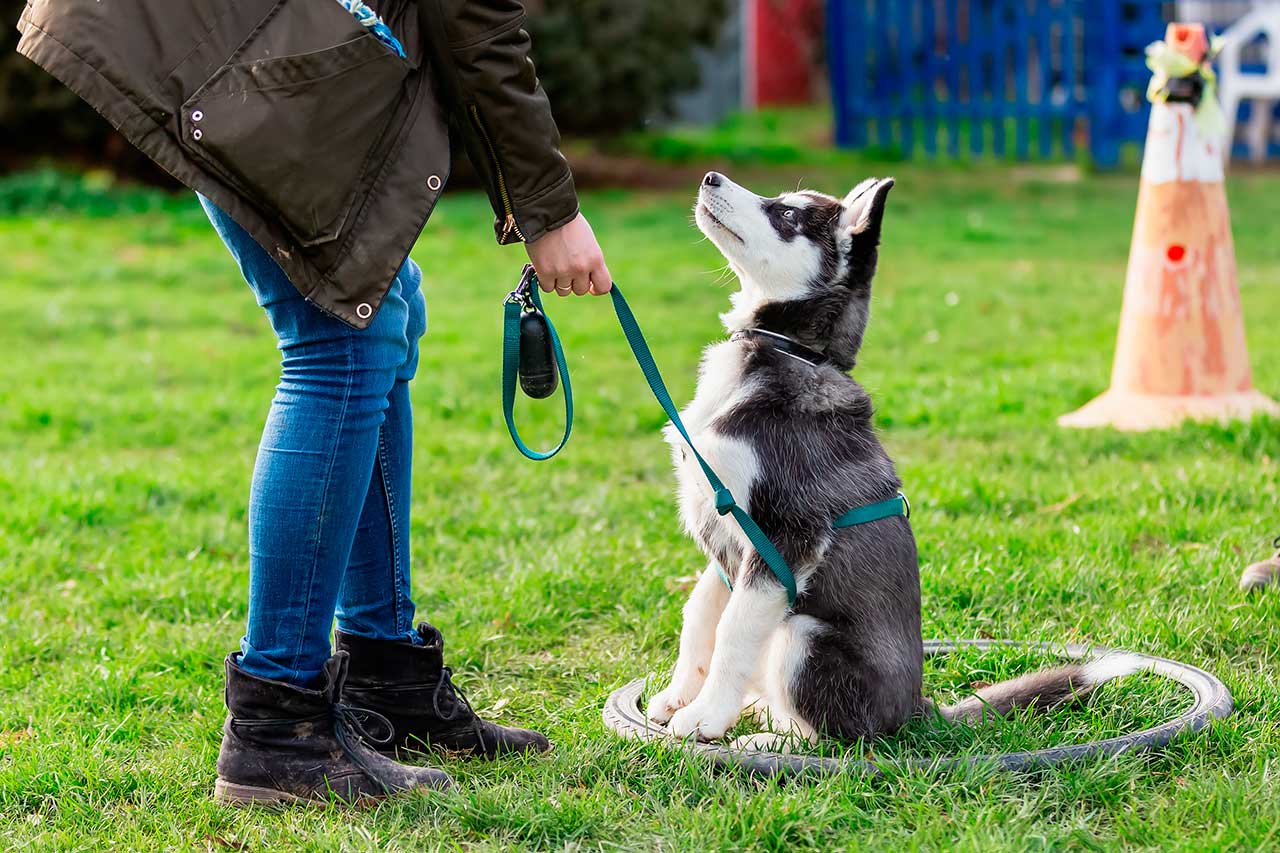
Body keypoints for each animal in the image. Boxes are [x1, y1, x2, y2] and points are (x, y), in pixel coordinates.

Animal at [650, 174, 1141, 753]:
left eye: (787, 215)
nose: (710, 178)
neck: (790, 351)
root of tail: (917, 709)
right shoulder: (726, 535)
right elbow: (701, 614)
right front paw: (679, 695)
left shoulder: (786, 536)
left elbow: (732, 630)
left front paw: (705, 717)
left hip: (803, 636)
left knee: (837, 737)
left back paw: (769, 741)